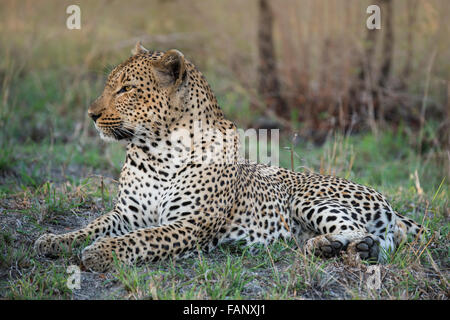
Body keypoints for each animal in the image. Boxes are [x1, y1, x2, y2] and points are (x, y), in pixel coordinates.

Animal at [34, 42, 422, 272]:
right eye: (110, 85)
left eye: (126, 89)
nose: (91, 114)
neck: (157, 151)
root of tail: (384, 198)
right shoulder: (126, 214)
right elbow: (91, 226)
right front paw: (54, 241)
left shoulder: (189, 224)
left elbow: (140, 239)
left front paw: (101, 253)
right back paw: (326, 248)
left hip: (308, 199)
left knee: (372, 235)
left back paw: (346, 248)